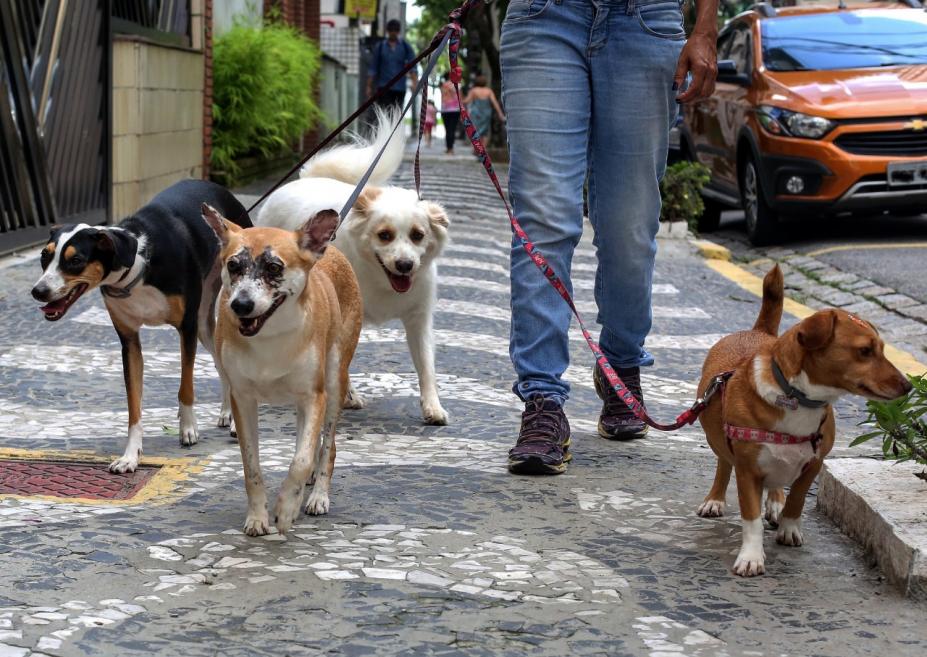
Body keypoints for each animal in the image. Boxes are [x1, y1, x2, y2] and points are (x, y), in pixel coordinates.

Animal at [31, 179, 250, 472]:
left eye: (75, 260)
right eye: (44, 257)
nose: (38, 291)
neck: (137, 268)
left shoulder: (187, 328)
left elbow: (186, 386)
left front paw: (188, 428)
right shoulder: (129, 341)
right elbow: (133, 405)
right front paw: (130, 456)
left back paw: (234, 421)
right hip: (206, 325)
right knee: (220, 362)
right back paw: (227, 412)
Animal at [203, 208, 362, 536]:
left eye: (274, 267)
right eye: (233, 265)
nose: (241, 304)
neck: (270, 336)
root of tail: (328, 249)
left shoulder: (314, 396)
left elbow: (300, 460)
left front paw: (287, 508)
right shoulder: (243, 399)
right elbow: (251, 465)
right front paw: (257, 517)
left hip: (334, 379)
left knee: (327, 446)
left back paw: (316, 496)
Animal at [258, 109, 454, 426]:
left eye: (417, 235)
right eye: (384, 235)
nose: (405, 265)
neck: (381, 279)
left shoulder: (419, 319)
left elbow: (427, 366)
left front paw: (433, 407)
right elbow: (342, 362)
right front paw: (346, 395)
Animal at [696, 264, 908, 576]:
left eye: (881, 349)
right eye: (864, 351)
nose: (909, 386)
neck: (798, 397)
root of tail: (757, 331)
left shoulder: (814, 462)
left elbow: (796, 498)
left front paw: (788, 527)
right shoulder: (747, 470)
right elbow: (751, 519)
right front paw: (751, 556)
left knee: (776, 481)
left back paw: (775, 503)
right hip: (718, 441)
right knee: (724, 464)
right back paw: (715, 499)